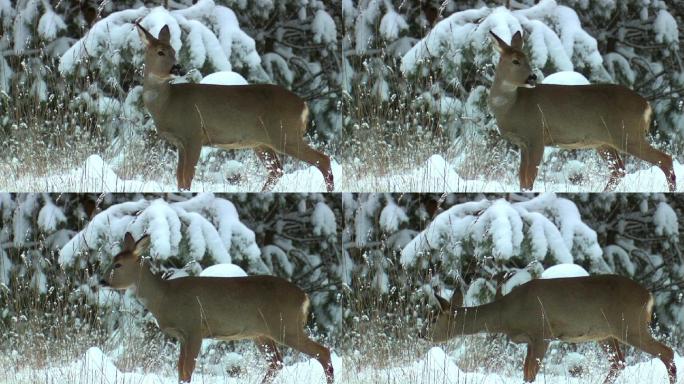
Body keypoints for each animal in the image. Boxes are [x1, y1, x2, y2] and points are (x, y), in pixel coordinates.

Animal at [101, 232, 334, 382]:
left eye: (118, 264)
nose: (102, 281)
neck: (164, 297)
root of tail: (304, 297)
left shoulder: (195, 328)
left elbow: (187, 371)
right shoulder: (182, 336)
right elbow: (180, 370)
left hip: (285, 325)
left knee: (322, 352)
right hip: (261, 332)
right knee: (277, 362)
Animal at [134, 22, 334, 192]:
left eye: (174, 51)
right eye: (160, 52)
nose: (178, 68)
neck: (167, 104)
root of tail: (303, 105)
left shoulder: (194, 134)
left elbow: (187, 176)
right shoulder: (180, 143)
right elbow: (179, 178)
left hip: (284, 133)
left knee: (322, 159)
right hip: (262, 142)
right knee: (277, 170)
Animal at [422, 274, 680, 382]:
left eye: (433, 318)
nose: (421, 334)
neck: (507, 314)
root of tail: (648, 296)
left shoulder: (542, 334)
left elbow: (531, 374)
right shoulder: (530, 340)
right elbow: (525, 372)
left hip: (630, 325)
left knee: (667, 352)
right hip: (605, 332)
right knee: (619, 362)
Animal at [488, 30, 676, 192]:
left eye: (527, 59)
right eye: (515, 61)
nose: (532, 77)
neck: (512, 107)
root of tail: (646, 105)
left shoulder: (537, 135)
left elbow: (529, 178)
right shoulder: (523, 143)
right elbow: (522, 178)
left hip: (627, 133)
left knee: (665, 159)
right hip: (604, 141)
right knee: (619, 170)